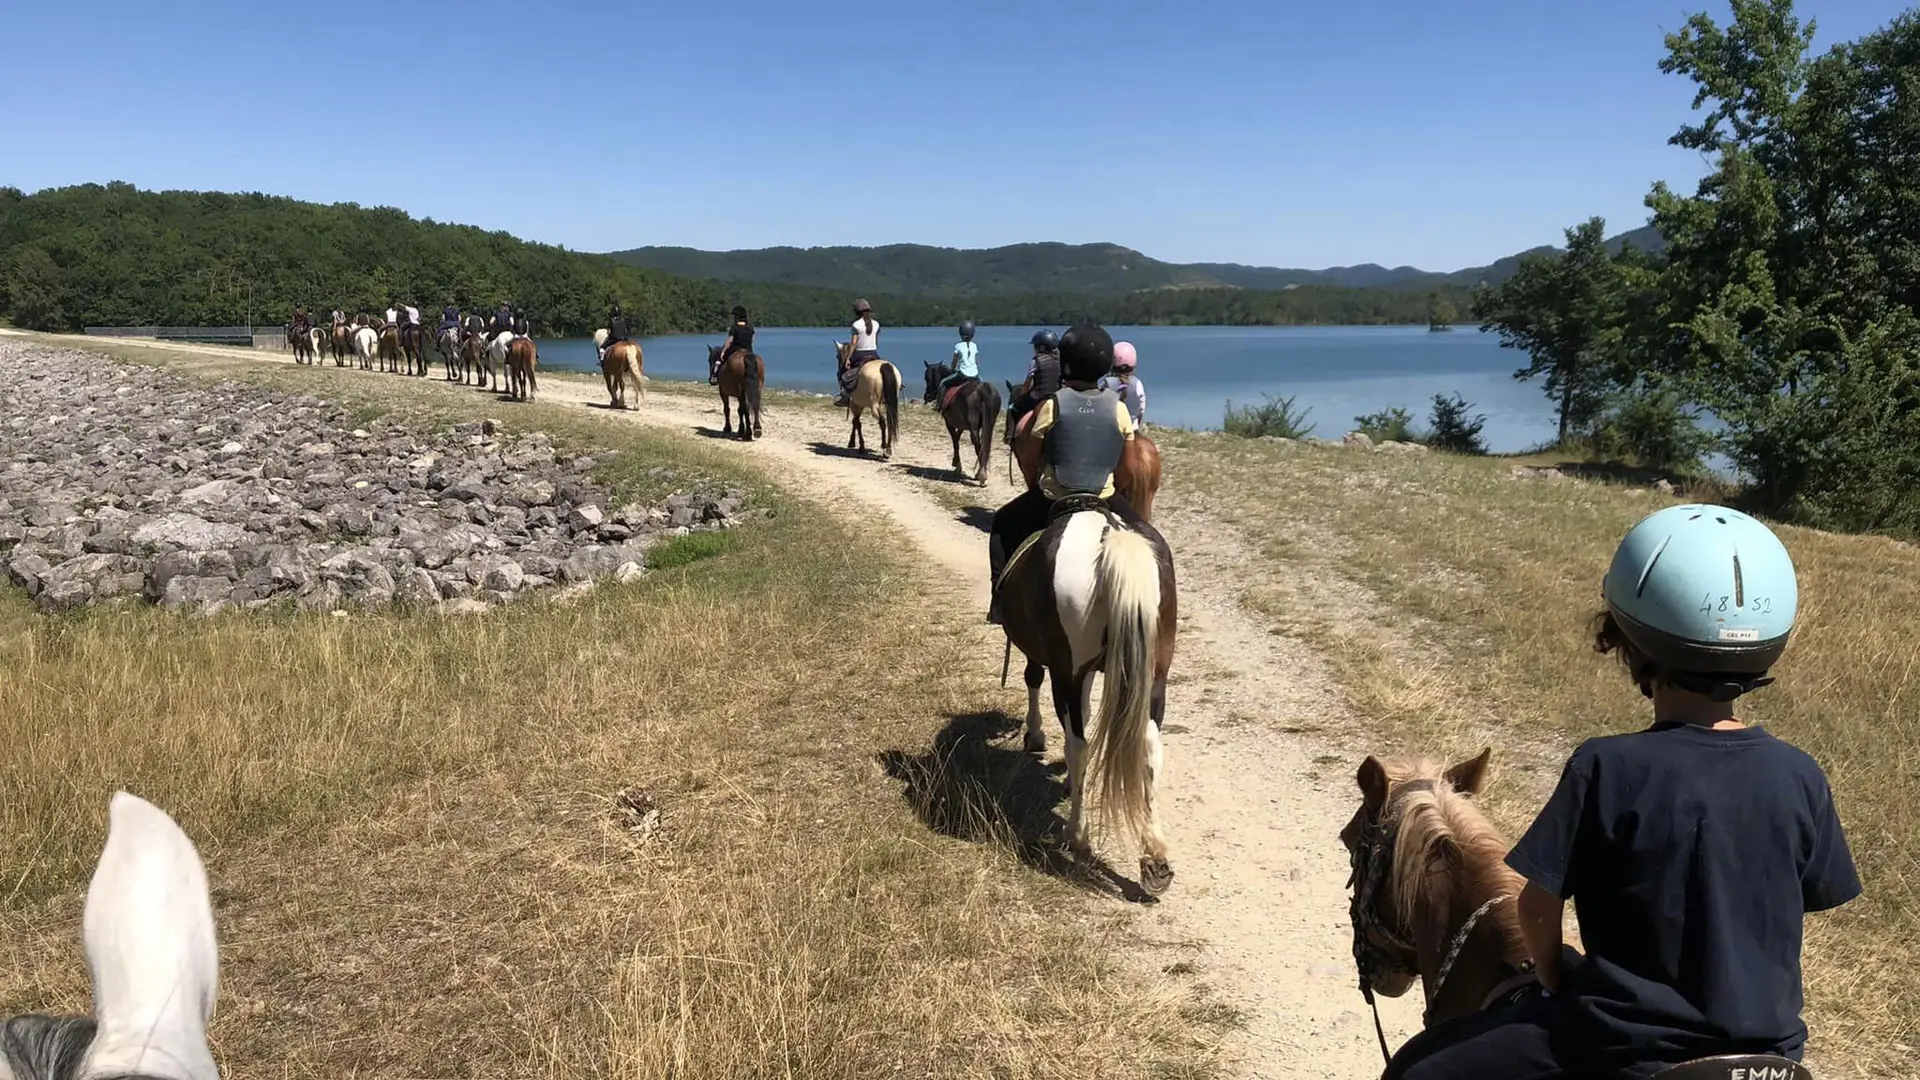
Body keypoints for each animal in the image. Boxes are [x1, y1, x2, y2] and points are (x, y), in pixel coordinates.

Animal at [998, 490, 1175, 891]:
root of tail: (1111, 535)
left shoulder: (1056, 664)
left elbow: (1033, 679)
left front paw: (1035, 736)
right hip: (1155, 676)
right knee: (1150, 748)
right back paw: (1155, 858)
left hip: (1068, 672)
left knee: (1078, 744)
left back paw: (1077, 835)